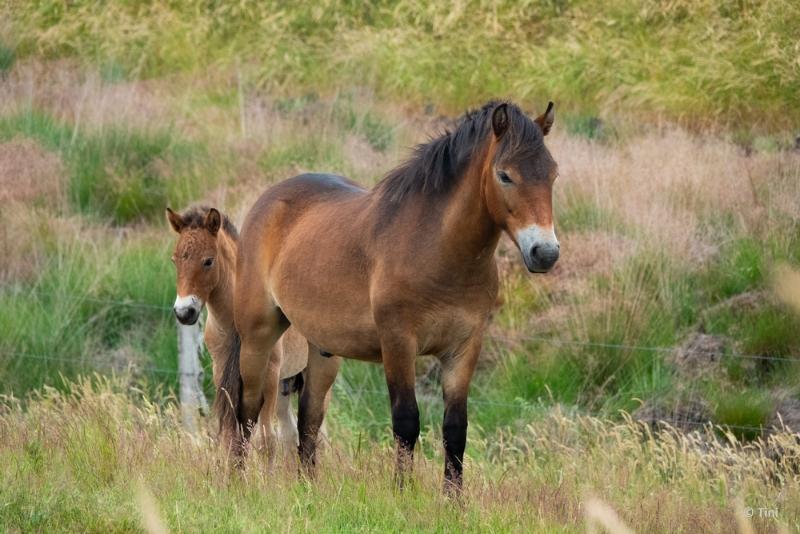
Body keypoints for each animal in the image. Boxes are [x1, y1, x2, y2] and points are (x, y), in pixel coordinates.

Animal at [166, 207, 318, 454]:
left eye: (208, 261)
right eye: (175, 260)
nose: (184, 312)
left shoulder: (270, 373)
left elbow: (265, 439)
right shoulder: (221, 371)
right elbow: (231, 434)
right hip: (285, 383)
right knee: (290, 433)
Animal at [222, 101, 560, 494]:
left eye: (552, 174)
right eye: (505, 175)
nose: (545, 253)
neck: (435, 249)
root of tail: (267, 200)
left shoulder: (464, 348)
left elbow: (455, 428)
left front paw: (453, 500)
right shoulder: (399, 343)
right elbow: (406, 421)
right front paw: (402, 493)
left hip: (322, 348)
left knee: (309, 417)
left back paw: (309, 488)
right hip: (258, 336)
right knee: (247, 408)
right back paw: (237, 481)